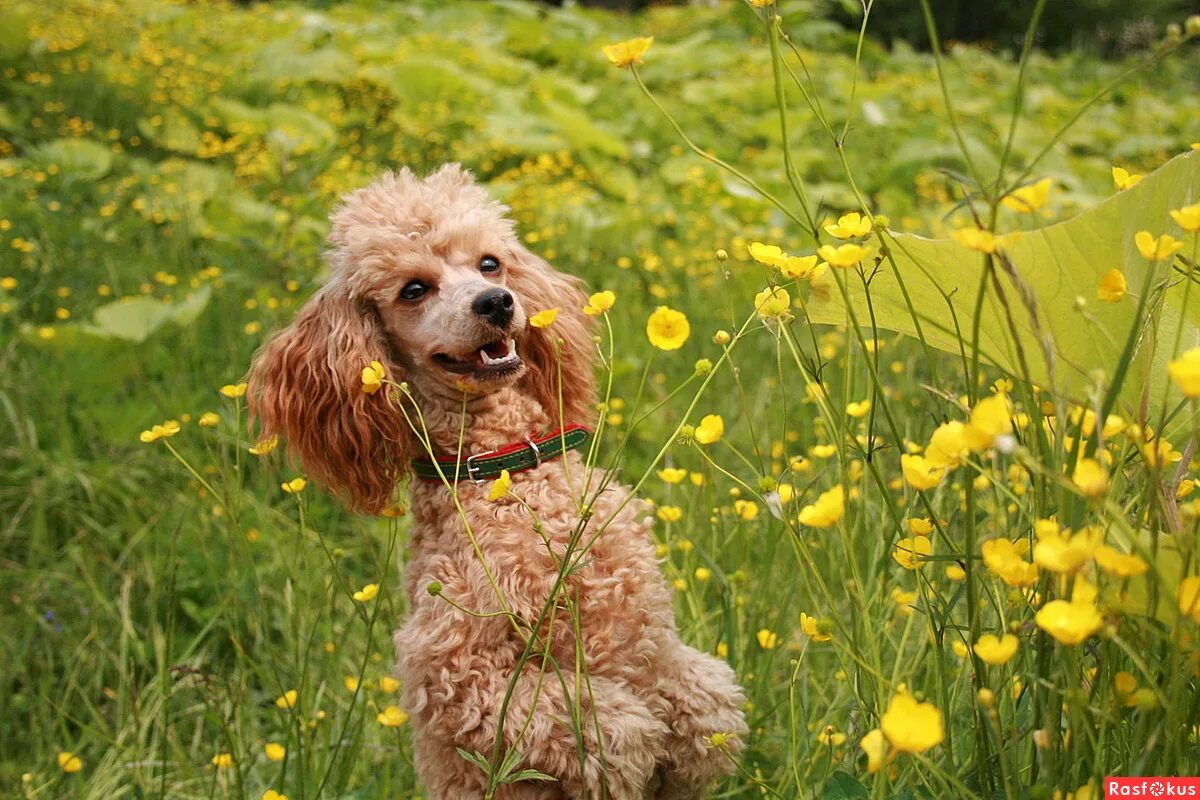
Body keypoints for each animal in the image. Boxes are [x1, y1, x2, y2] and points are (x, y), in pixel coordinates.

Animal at [248, 165, 744, 796]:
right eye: (414, 289)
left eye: (490, 263)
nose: (496, 302)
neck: (511, 467)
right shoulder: (454, 677)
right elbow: (616, 729)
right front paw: (632, 752)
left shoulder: (653, 641)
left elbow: (709, 704)